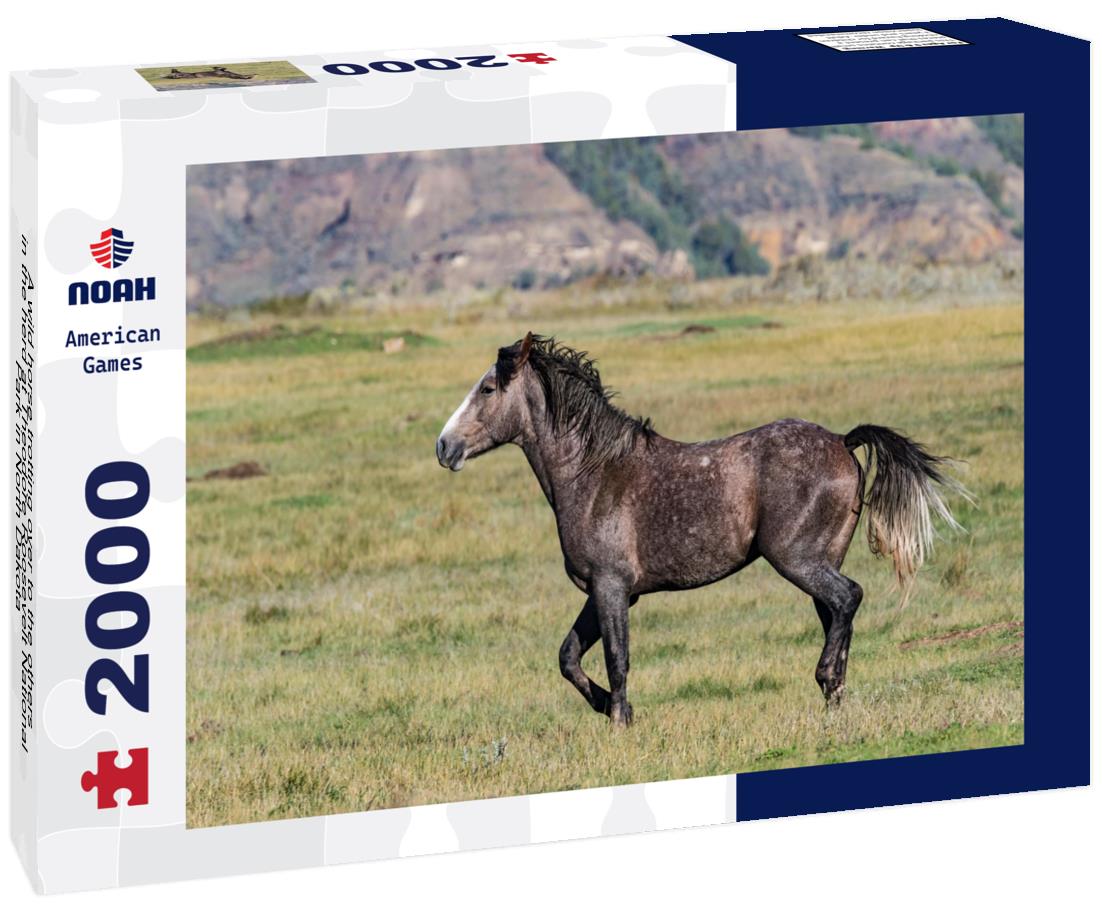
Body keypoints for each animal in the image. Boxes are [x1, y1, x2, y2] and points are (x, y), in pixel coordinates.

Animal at [436, 333, 968, 726]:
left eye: (487, 389)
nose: (444, 447)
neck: (594, 473)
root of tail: (842, 440)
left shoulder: (612, 588)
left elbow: (616, 658)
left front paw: (621, 719)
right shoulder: (607, 590)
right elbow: (569, 657)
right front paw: (609, 707)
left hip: (797, 560)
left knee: (849, 597)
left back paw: (825, 679)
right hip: (820, 561)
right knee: (839, 612)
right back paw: (834, 696)